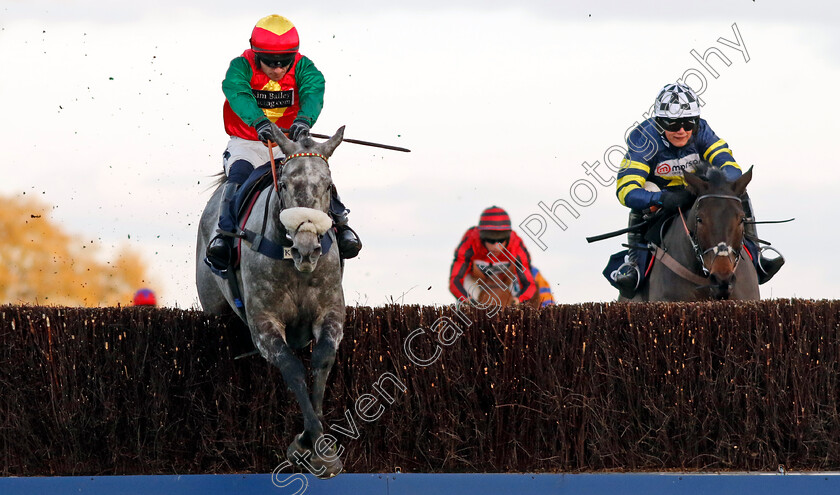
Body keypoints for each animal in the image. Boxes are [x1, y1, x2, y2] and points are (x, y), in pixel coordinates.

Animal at [198, 126, 348, 478]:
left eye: (328, 186)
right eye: (286, 184)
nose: (307, 249)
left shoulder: (331, 312)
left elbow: (321, 360)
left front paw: (323, 449)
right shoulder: (264, 323)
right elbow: (292, 368)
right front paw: (306, 443)